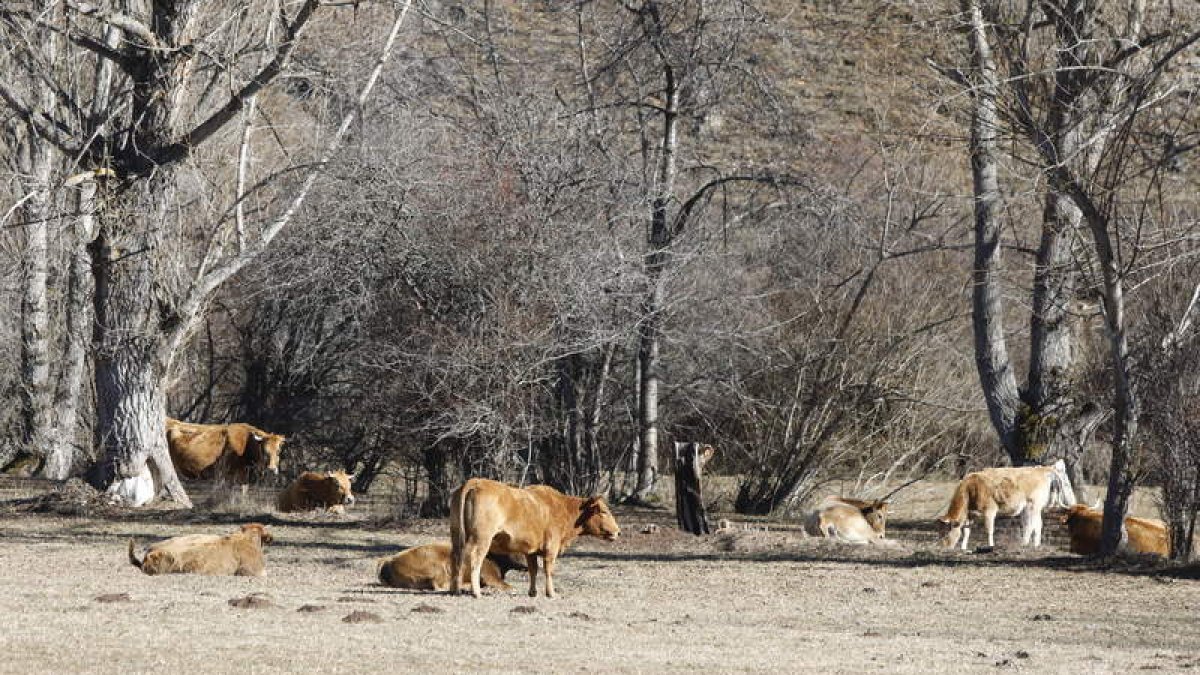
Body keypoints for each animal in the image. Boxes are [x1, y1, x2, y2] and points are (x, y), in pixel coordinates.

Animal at [448, 475, 619, 595]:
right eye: (603, 511)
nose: (618, 531)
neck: (562, 508)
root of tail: (476, 482)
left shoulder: (530, 550)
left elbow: (533, 570)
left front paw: (533, 592)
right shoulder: (551, 548)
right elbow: (548, 570)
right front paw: (551, 593)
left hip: (457, 535)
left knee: (457, 556)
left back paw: (456, 589)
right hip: (482, 538)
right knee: (475, 558)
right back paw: (476, 592)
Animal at [936, 454, 1080, 550]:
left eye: (945, 532)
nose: (943, 546)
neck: (970, 488)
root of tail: (1043, 469)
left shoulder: (990, 511)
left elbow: (989, 530)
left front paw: (990, 546)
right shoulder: (971, 514)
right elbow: (966, 531)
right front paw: (964, 548)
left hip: (1031, 505)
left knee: (1030, 525)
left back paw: (1024, 544)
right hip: (1035, 507)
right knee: (1038, 525)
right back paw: (1035, 545)